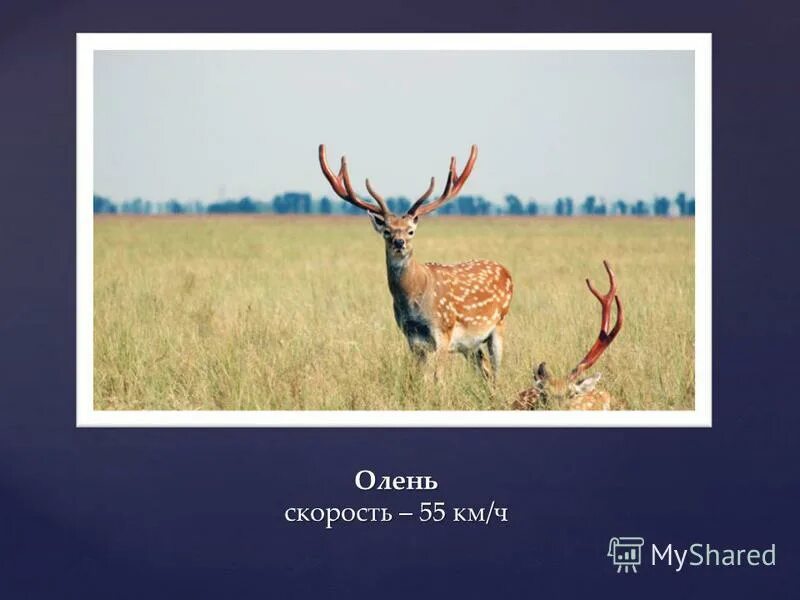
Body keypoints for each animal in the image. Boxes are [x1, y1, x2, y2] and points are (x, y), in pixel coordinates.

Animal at [318, 144, 513, 381]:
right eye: (387, 231)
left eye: (410, 230)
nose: (399, 242)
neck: (415, 298)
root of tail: (505, 271)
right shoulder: (412, 339)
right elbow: (419, 377)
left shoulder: (444, 331)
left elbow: (438, 378)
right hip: (471, 344)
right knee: (484, 369)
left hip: (499, 323)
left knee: (496, 370)